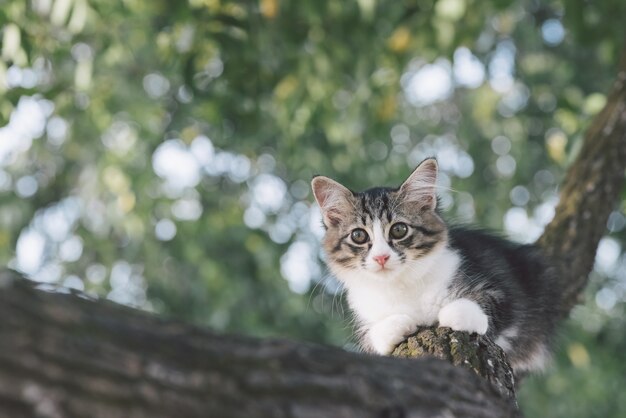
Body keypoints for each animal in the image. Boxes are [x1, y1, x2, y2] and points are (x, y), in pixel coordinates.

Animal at [310, 158, 560, 372]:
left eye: (399, 230)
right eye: (359, 236)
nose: (381, 257)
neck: (401, 285)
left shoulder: (500, 287)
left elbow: (488, 303)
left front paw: (458, 313)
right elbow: (370, 335)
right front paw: (393, 326)